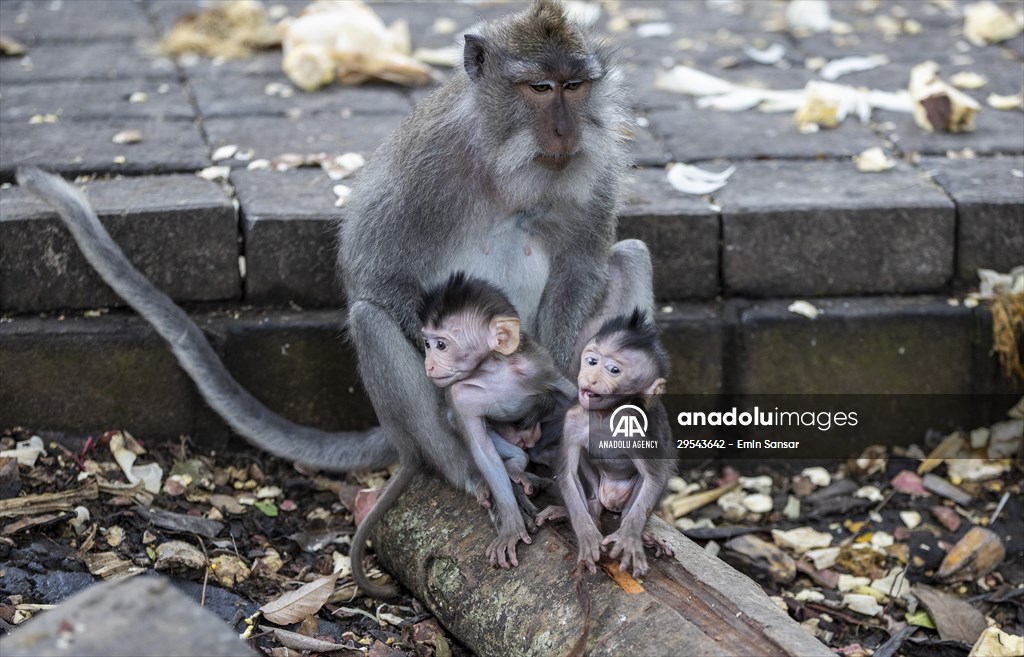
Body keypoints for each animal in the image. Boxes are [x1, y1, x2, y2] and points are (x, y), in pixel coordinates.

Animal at [16, 0, 652, 600]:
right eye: (540, 89)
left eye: (576, 85)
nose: (566, 131)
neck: (508, 162)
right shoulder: (426, 156)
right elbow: (373, 271)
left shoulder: (596, 165)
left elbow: (583, 263)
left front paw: (562, 402)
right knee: (372, 321)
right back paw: (467, 470)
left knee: (631, 255)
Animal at [538, 309, 676, 578]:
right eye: (591, 361)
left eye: (613, 369)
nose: (590, 379)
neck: (605, 414)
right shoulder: (573, 419)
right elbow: (567, 474)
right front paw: (586, 534)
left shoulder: (637, 424)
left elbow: (655, 477)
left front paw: (630, 536)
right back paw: (588, 508)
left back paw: (640, 532)